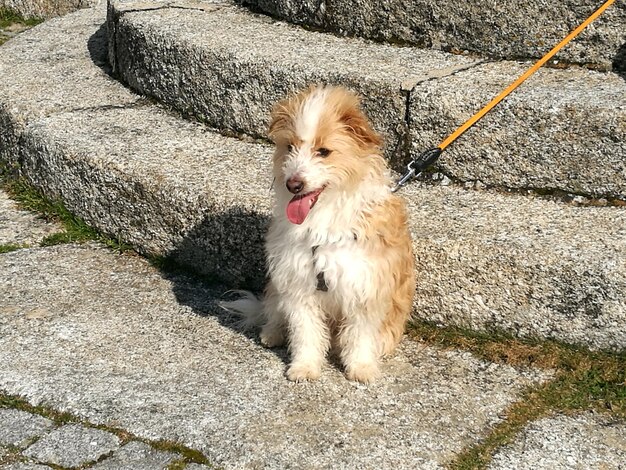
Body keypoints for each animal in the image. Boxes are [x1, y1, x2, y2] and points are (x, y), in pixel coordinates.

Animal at [221, 86, 414, 384]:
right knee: (274, 313)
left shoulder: (364, 286)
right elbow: (305, 333)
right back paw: (272, 333)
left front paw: (361, 367)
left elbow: (360, 336)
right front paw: (305, 366)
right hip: (277, 286)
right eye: (289, 147)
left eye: (324, 151)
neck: (323, 221)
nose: (294, 184)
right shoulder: (299, 284)